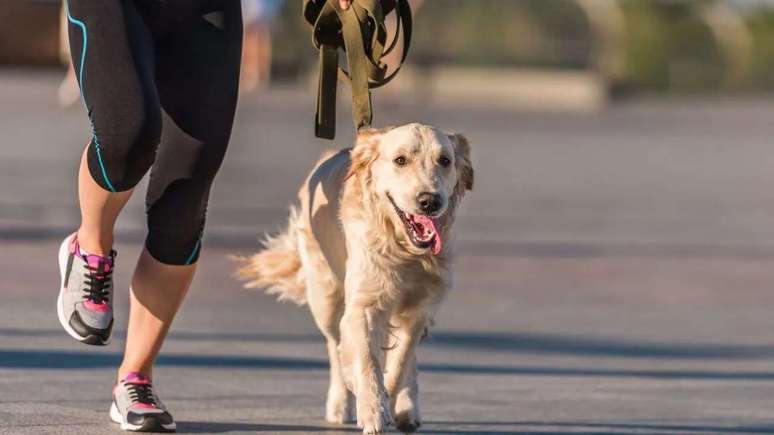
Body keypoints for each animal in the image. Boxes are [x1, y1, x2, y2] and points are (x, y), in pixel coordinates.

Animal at [235, 124, 472, 434]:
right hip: (325, 299)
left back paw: (407, 408)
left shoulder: (420, 309)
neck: (404, 250)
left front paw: (390, 401)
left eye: (444, 160)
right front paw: (372, 409)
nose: (430, 201)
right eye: (400, 160)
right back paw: (340, 402)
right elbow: (366, 359)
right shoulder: (364, 304)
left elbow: (400, 363)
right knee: (334, 345)